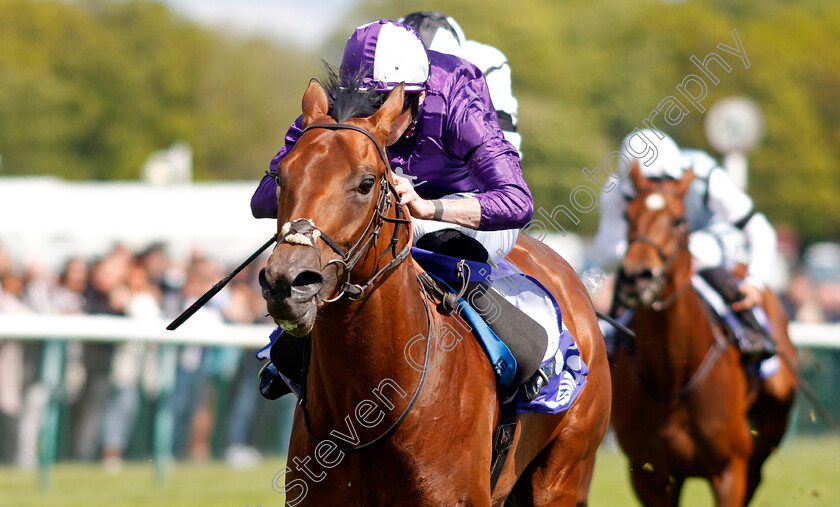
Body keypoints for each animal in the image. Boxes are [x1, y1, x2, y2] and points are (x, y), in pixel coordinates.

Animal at [612, 165, 800, 506]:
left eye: (678, 220)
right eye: (627, 215)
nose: (636, 277)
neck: (673, 377)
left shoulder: (730, 470)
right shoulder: (650, 475)